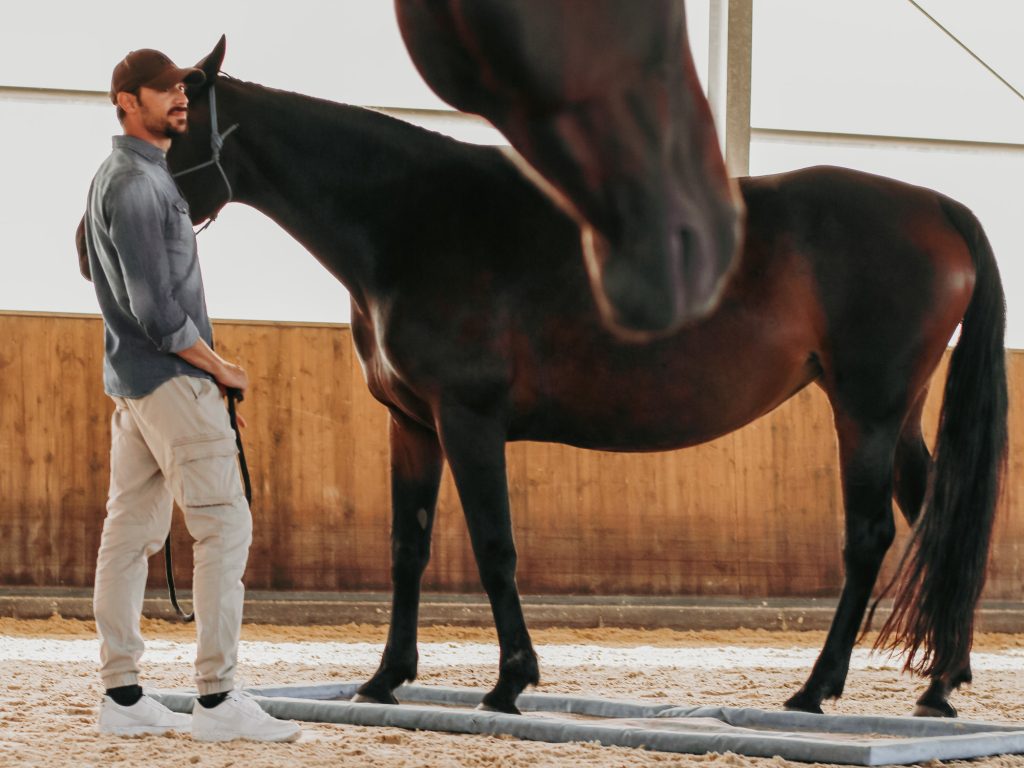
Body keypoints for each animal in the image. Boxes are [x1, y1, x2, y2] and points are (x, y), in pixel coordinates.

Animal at [80, 36, 1007, 718]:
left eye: (177, 125)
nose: (92, 245)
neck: (412, 221)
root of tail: (936, 206)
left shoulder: (470, 418)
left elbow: (494, 546)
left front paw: (510, 681)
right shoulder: (412, 424)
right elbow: (408, 548)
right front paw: (384, 680)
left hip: (866, 411)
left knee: (871, 539)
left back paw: (816, 691)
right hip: (899, 414)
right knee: (938, 518)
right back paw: (938, 684)